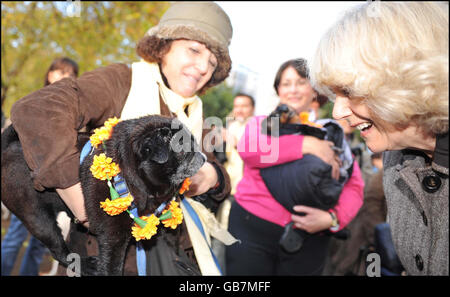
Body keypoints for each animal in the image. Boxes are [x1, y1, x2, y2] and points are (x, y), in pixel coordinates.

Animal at [1, 114, 206, 274]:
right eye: (185, 150)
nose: (203, 156)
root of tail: (8, 147)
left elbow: (173, 245)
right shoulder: (113, 237)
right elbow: (112, 266)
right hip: (36, 217)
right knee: (57, 248)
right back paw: (82, 264)